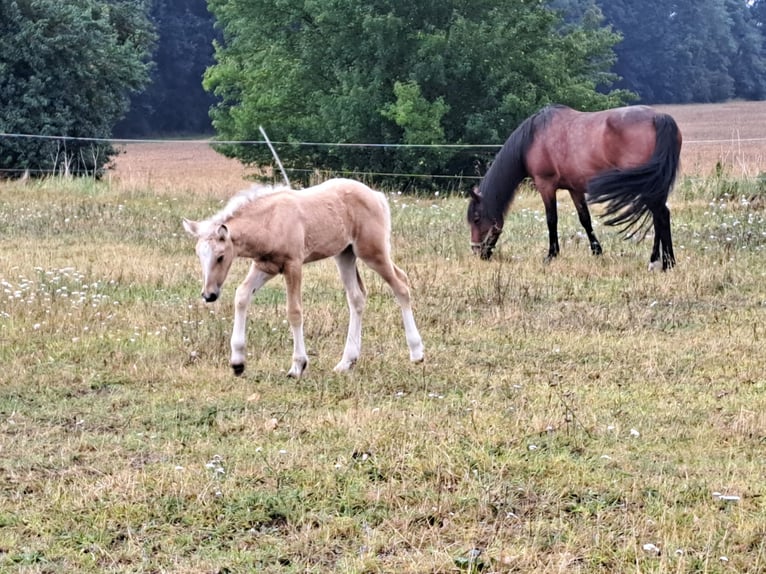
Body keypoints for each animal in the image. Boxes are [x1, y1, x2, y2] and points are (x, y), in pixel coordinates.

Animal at [182, 178, 425, 377]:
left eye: (220, 257)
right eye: (198, 255)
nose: (209, 295)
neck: (269, 221)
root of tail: (376, 195)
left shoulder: (293, 265)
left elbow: (294, 311)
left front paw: (298, 365)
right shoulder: (265, 266)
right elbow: (241, 295)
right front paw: (237, 363)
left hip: (372, 252)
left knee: (401, 285)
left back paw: (417, 353)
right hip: (345, 255)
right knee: (357, 298)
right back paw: (346, 362)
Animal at [466, 104, 682, 270]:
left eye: (476, 219)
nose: (477, 252)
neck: (533, 137)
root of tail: (659, 117)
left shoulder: (545, 185)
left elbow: (551, 220)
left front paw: (551, 255)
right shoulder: (574, 189)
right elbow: (585, 219)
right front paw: (597, 252)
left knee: (661, 215)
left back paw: (666, 263)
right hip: (654, 186)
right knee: (659, 216)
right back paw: (657, 261)